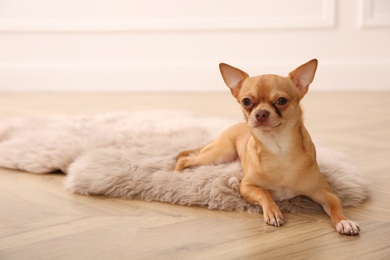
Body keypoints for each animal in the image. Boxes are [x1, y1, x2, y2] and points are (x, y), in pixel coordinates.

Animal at [175, 59, 362, 236]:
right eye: (246, 101)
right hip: (219, 154)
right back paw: (176, 174)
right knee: (184, 159)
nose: (261, 113)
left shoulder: (325, 193)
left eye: (281, 101)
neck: (278, 149)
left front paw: (345, 222)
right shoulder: (246, 187)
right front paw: (273, 211)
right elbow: (264, 193)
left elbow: (336, 207)